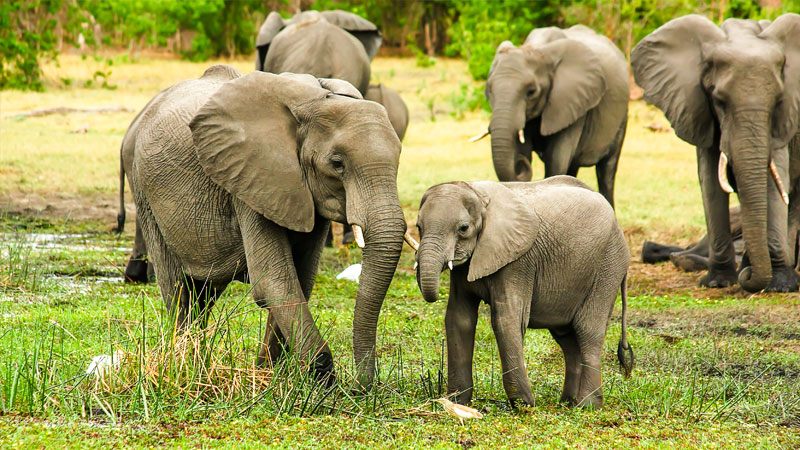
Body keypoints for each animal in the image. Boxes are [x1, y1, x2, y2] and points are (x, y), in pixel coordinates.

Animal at [118, 64, 417, 387]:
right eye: (337, 164)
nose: (363, 387)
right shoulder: (250, 178)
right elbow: (274, 281)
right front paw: (321, 381)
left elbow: (300, 278)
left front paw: (270, 375)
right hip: (144, 192)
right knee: (178, 288)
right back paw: (185, 364)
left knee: (204, 293)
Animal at [414, 177, 632, 408]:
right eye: (419, 227)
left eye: (463, 228)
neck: (478, 194)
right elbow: (458, 318)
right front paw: (456, 402)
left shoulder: (518, 261)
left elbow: (506, 319)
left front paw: (524, 405)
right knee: (567, 337)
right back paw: (567, 403)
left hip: (608, 266)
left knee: (588, 330)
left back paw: (587, 406)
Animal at [476, 25, 629, 208]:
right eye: (489, 90)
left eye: (531, 92)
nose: (519, 164)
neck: (538, 49)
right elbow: (525, 150)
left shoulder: (572, 102)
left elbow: (557, 160)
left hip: (622, 116)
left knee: (607, 171)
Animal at [631, 14, 800, 292]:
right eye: (719, 101)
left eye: (777, 101)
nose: (748, 278)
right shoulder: (699, 109)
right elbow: (710, 181)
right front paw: (718, 282)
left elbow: (776, 181)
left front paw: (781, 285)